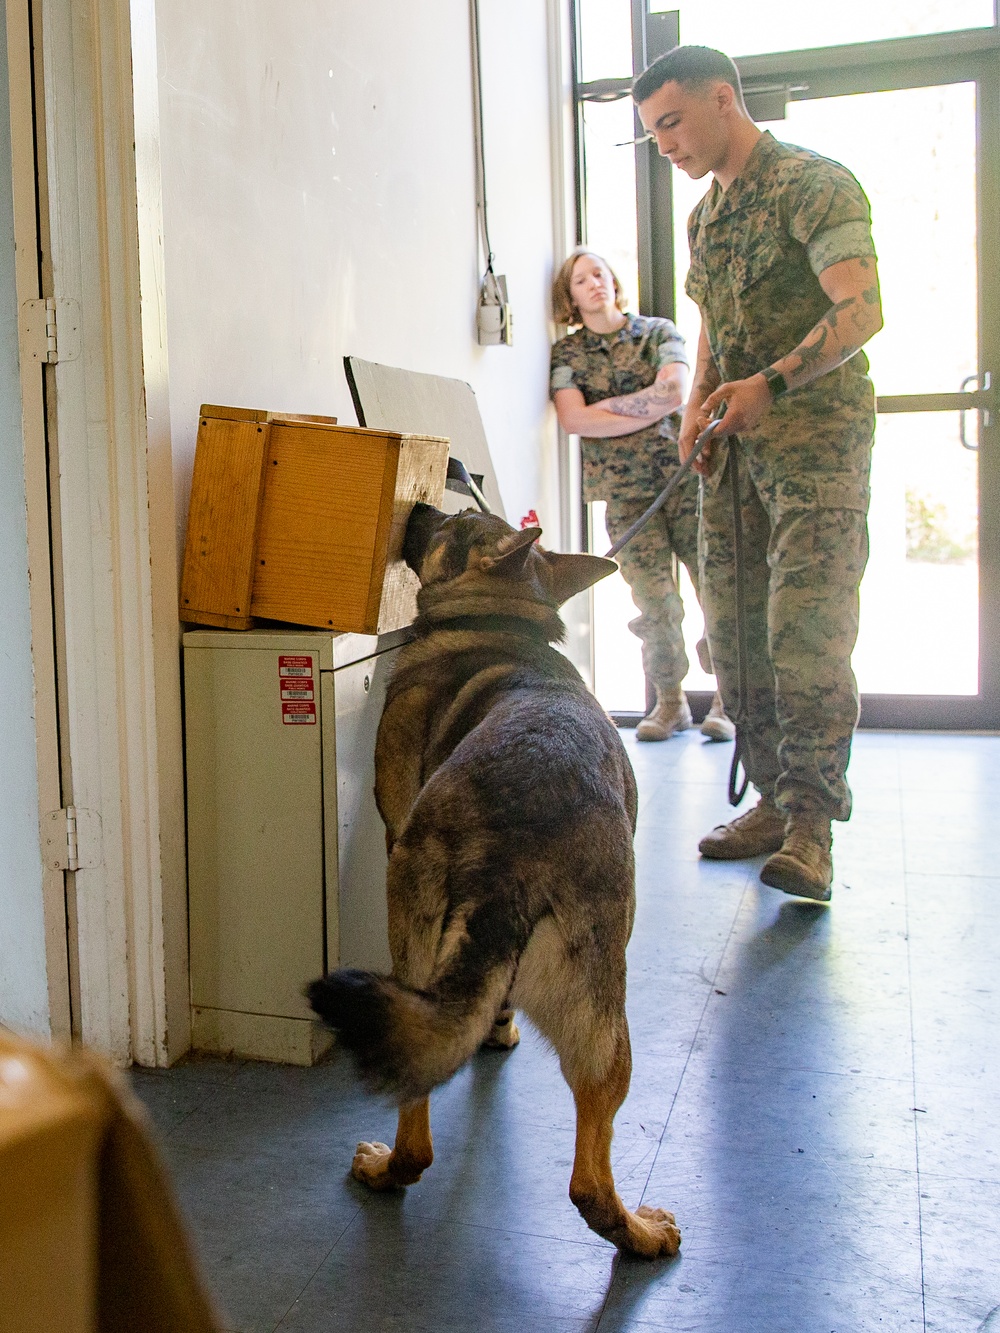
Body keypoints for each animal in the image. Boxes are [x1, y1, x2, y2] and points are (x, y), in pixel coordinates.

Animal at [305, 501, 682, 1258]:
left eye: (454, 523)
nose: (423, 504)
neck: (503, 618)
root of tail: (519, 856)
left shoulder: (393, 825)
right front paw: (497, 1028)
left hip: (408, 937)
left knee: (418, 1116)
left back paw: (386, 1169)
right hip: (606, 1031)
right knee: (589, 1177)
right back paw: (637, 1234)